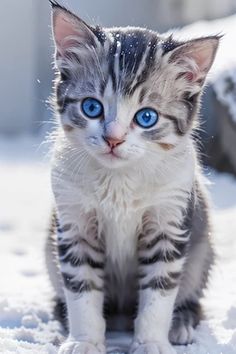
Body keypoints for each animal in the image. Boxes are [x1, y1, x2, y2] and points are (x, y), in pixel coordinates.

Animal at [47, 1, 220, 352]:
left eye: (147, 117)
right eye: (91, 107)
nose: (113, 139)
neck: (118, 182)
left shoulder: (170, 219)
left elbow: (159, 290)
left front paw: (151, 341)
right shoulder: (74, 222)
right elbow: (81, 288)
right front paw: (84, 340)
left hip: (202, 241)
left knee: (191, 296)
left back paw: (180, 324)